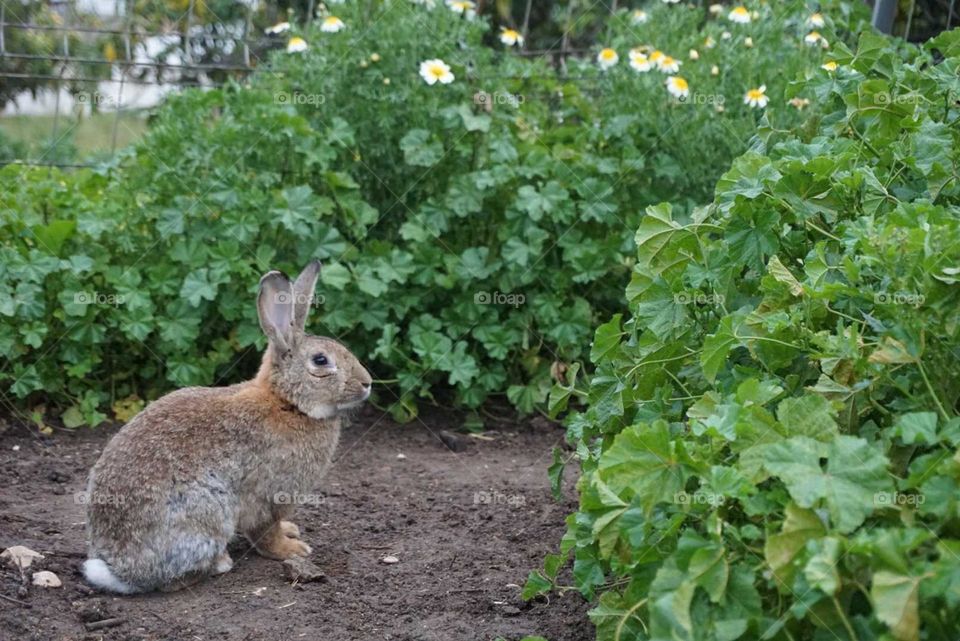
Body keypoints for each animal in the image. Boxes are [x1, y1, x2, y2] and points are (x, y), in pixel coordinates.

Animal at [82, 258, 372, 592]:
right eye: (321, 361)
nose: (368, 382)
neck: (288, 403)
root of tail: (121, 570)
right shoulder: (269, 495)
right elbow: (265, 530)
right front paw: (292, 549)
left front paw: (291, 530)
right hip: (207, 510)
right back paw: (220, 562)